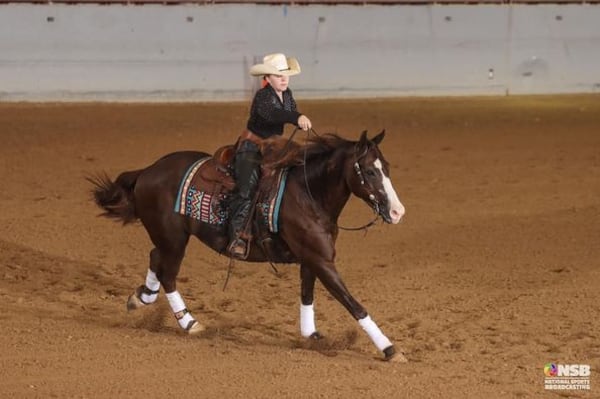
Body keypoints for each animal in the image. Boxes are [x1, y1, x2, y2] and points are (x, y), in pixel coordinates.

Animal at [89, 131, 406, 362]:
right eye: (370, 171)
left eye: (388, 168)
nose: (397, 212)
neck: (308, 194)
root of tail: (148, 170)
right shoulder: (321, 260)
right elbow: (353, 304)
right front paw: (390, 349)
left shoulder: (312, 259)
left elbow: (307, 295)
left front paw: (310, 336)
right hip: (174, 239)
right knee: (168, 273)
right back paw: (189, 323)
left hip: (168, 238)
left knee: (156, 258)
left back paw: (141, 297)